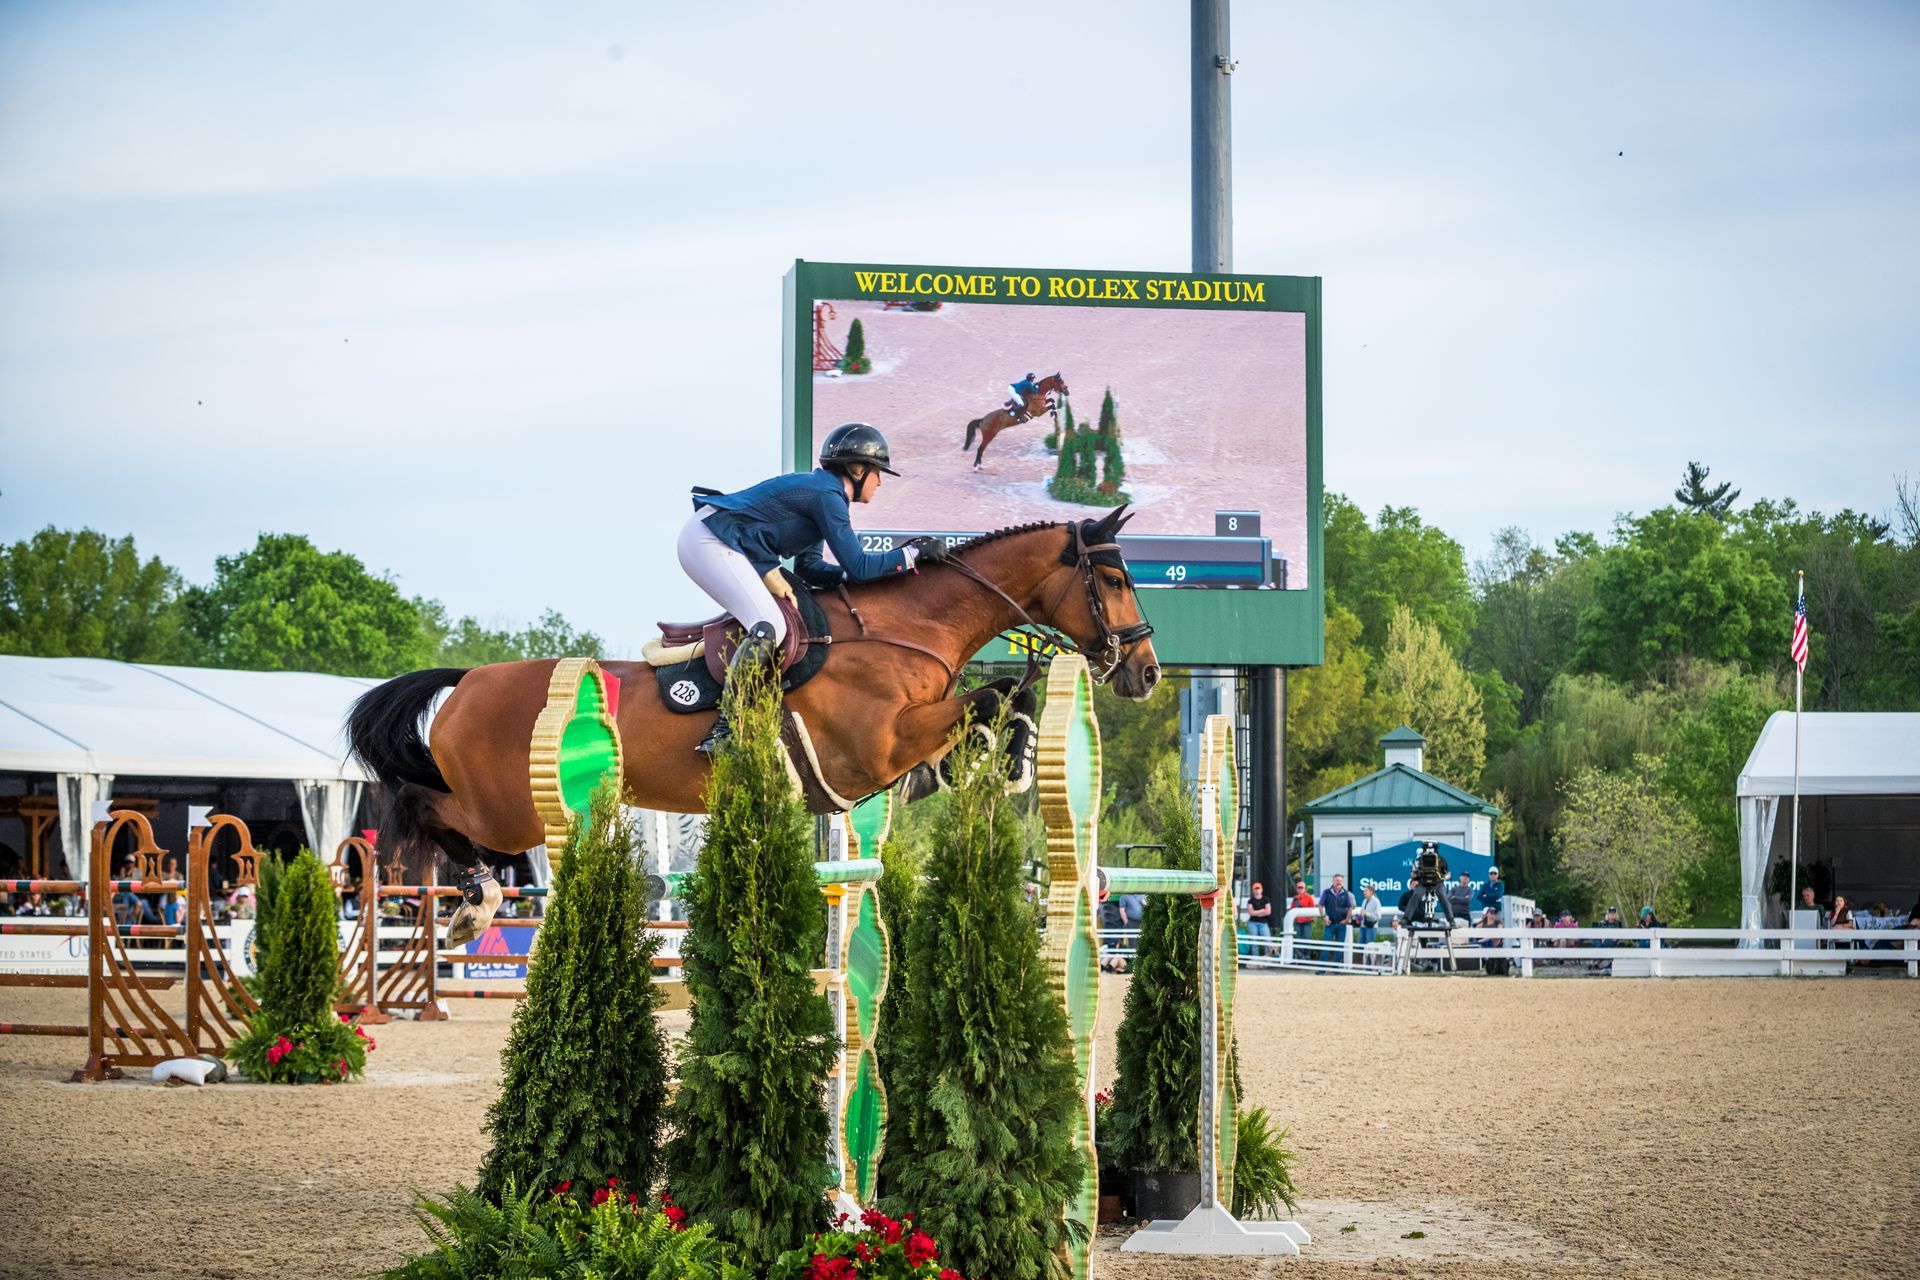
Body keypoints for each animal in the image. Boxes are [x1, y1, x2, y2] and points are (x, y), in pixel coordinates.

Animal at [343, 506, 1152, 948]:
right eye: (1114, 580)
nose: (1144, 671)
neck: (907, 629)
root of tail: (469, 680)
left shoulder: (887, 762)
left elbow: (993, 703)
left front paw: (1008, 755)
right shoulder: (875, 748)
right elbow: (985, 698)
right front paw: (1007, 747)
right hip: (505, 808)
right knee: (425, 809)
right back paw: (471, 906)